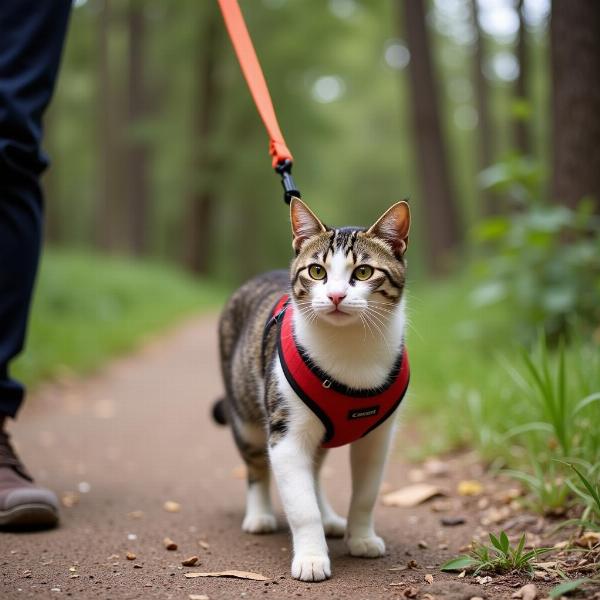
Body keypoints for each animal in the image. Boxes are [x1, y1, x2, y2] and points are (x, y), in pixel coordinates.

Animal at [217, 197, 412, 580]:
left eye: (363, 273)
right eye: (317, 272)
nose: (335, 295)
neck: (349, 349)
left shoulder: (378, 438)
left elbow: (366, 494)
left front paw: (361, 538)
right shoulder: (286, 433)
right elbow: (300, 505)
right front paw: (310, 557)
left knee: (316, 469)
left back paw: (330, 518)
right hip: (245, 415)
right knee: (256, 465)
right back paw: (259, 514)